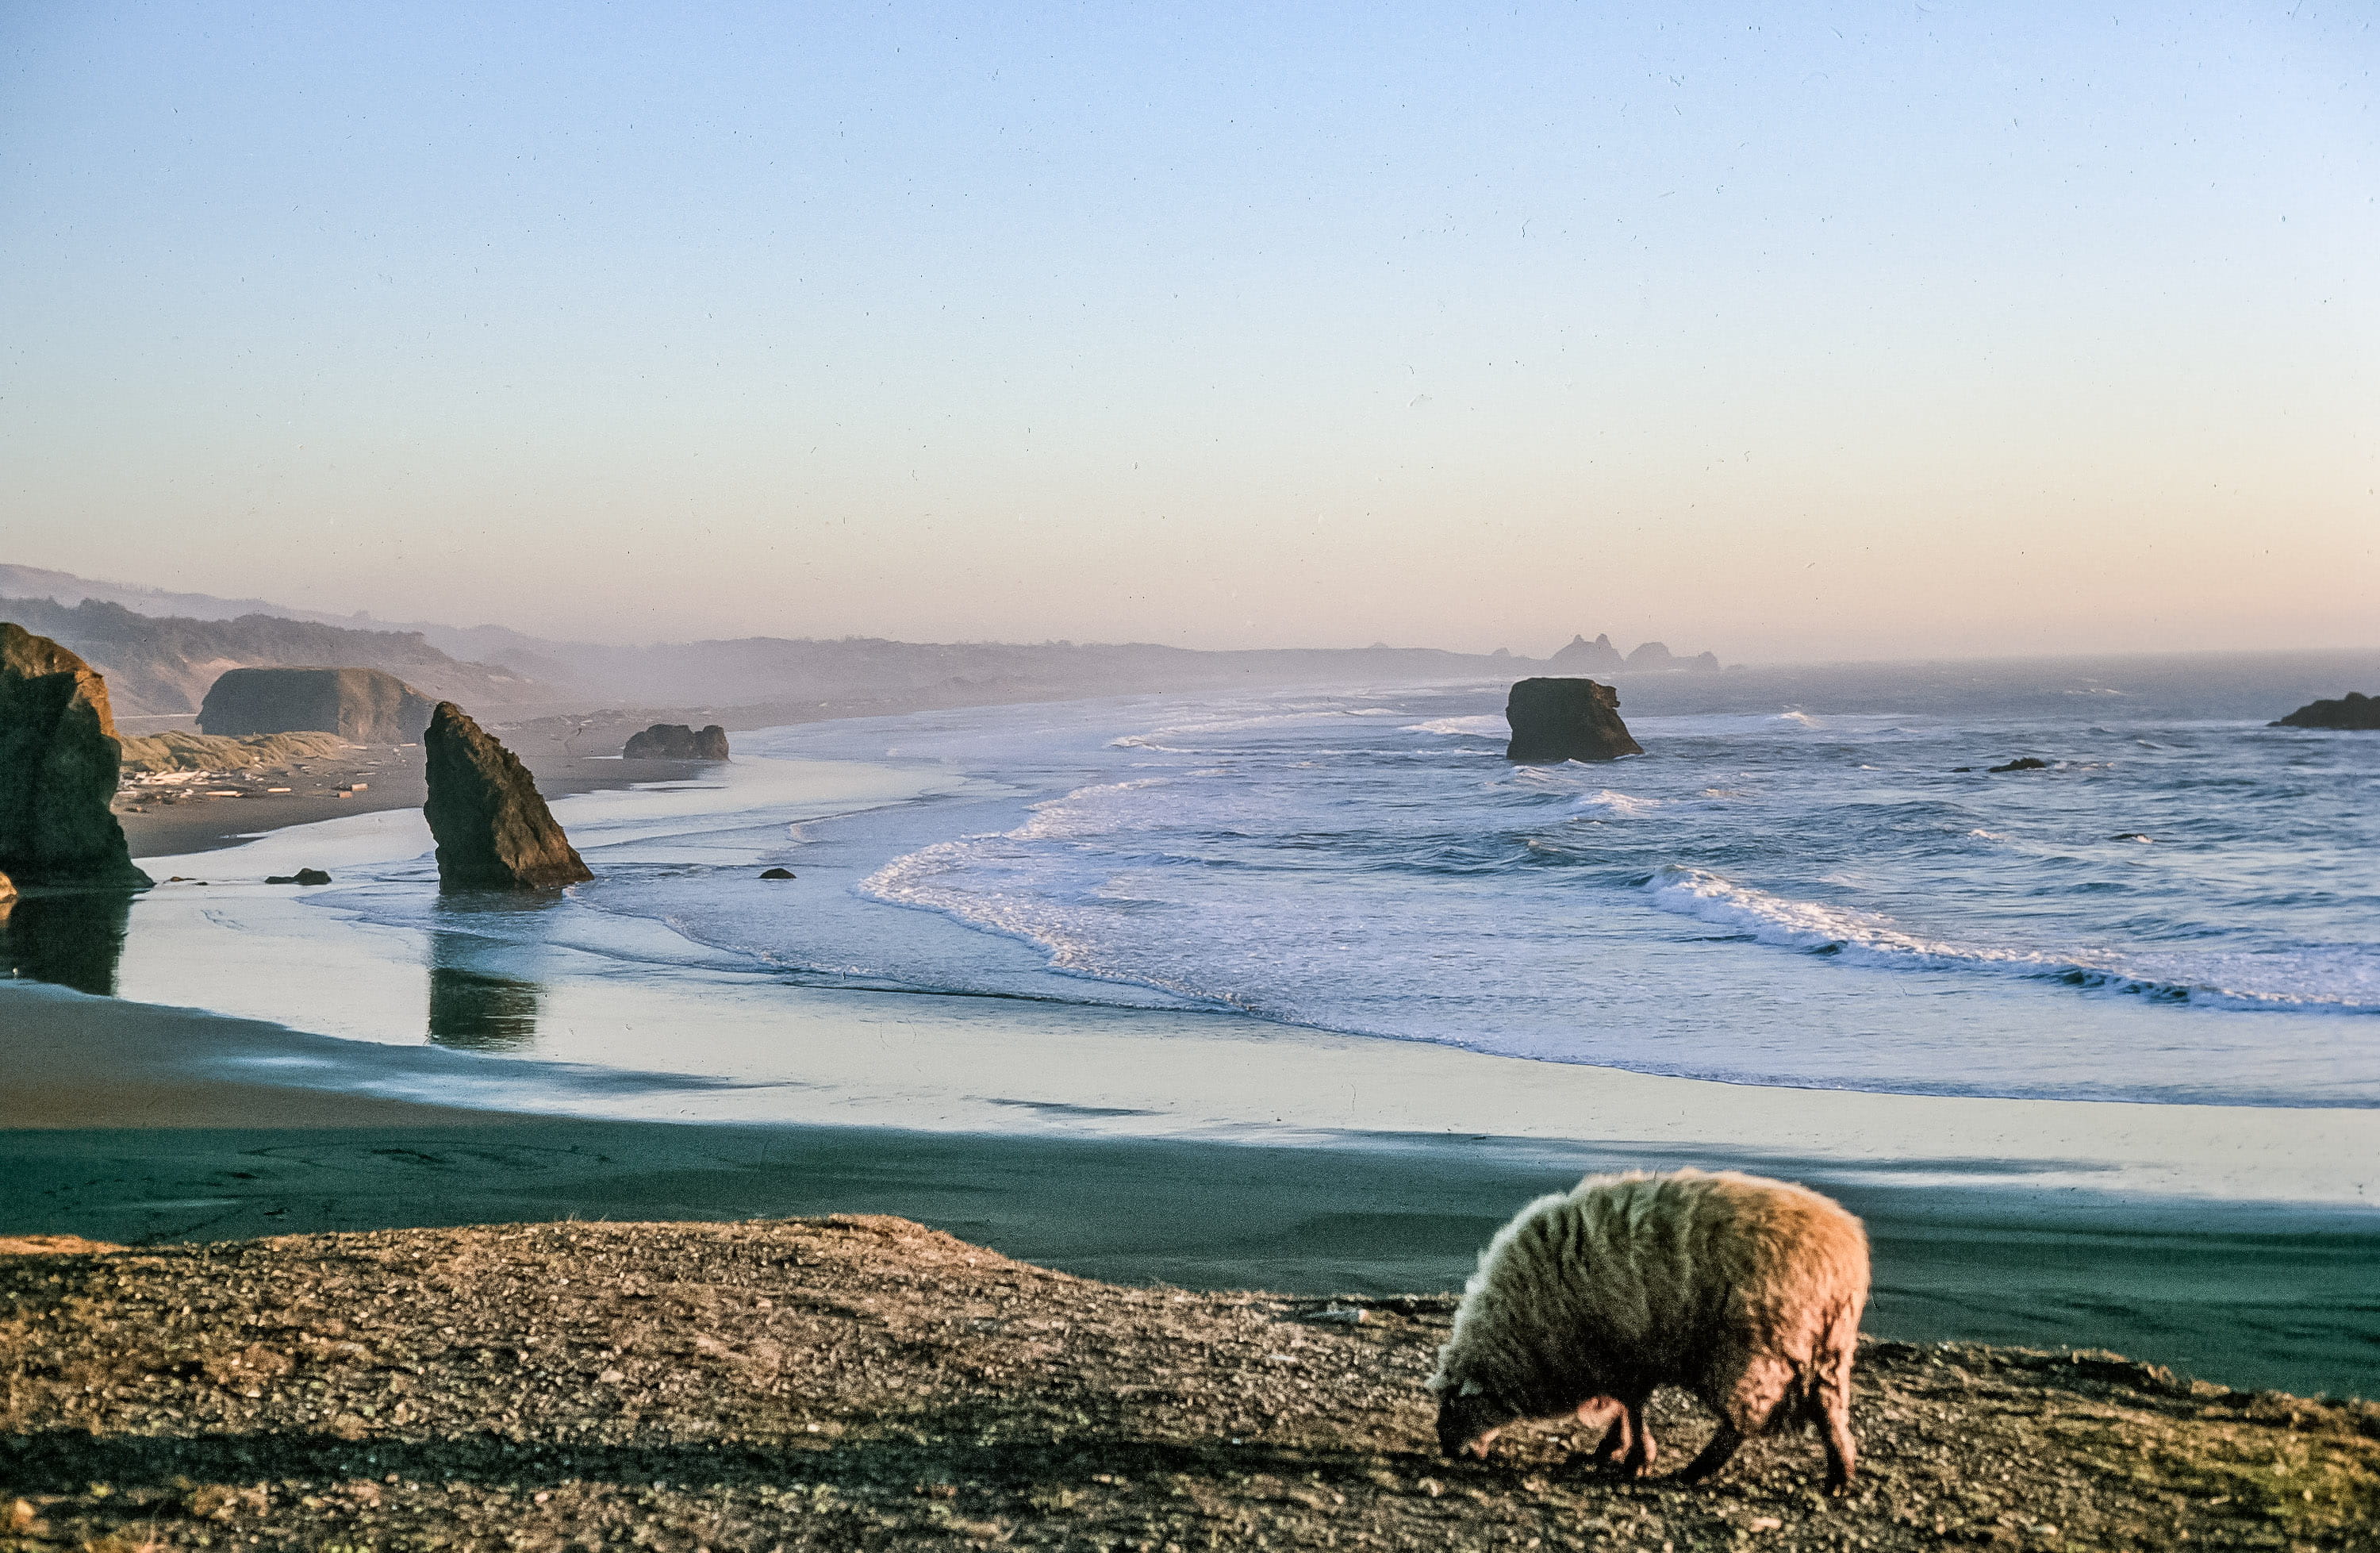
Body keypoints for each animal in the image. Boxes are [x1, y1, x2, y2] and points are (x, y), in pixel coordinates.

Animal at [1426, 1167, 1869, 1493]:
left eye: (1454, 1403)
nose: (1447, 1449)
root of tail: (1844, 1253)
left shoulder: (1622, 1349)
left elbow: (1632, 1406)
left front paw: (1635, 1458)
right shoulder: (1616, 1357)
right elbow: (1625, 1406)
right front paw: (1610, 1450)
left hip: (1749, 1347)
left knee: (1744, 1419)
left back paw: (1696, 1471)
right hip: (1830, 1348)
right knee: (1829, 1409)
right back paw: (1840, 1477)